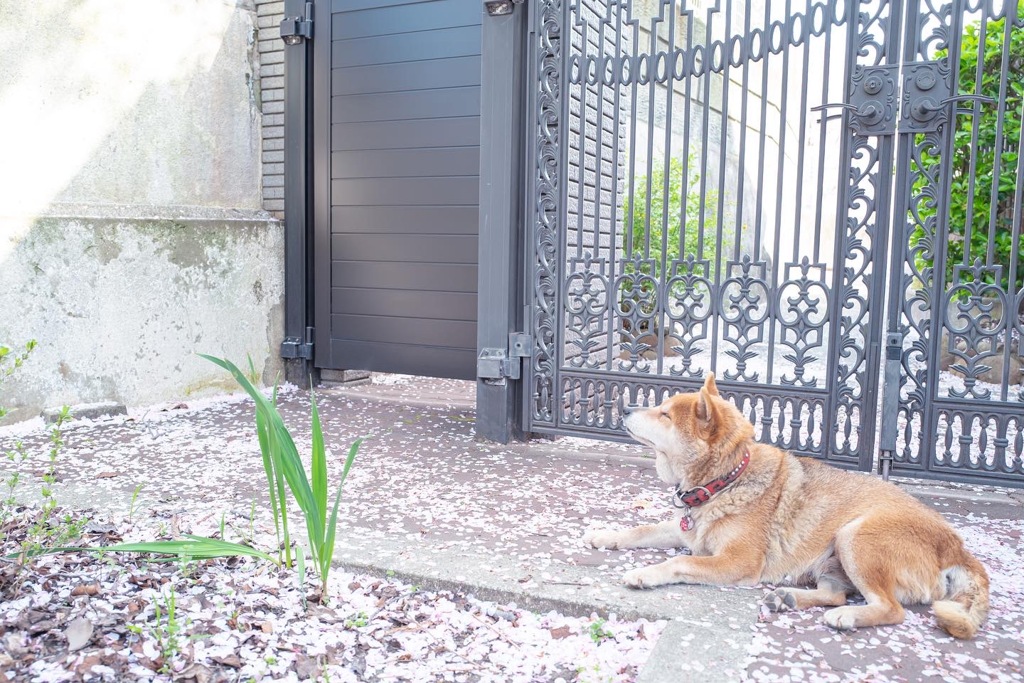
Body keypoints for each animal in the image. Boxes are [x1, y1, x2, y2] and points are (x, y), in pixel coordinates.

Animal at [585, 370, 991, 638]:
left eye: (665, 414)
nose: (624, 407)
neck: (725, 481)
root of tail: (957, 547)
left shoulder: (737, 561)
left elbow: (680, 562)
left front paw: (646, 573)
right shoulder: (686, 530)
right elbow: (641, 529)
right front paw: (605, 535)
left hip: (855, 536)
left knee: (891, 610)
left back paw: (847, 617)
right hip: (833, 559)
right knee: (834, 594)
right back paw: (789, 599)